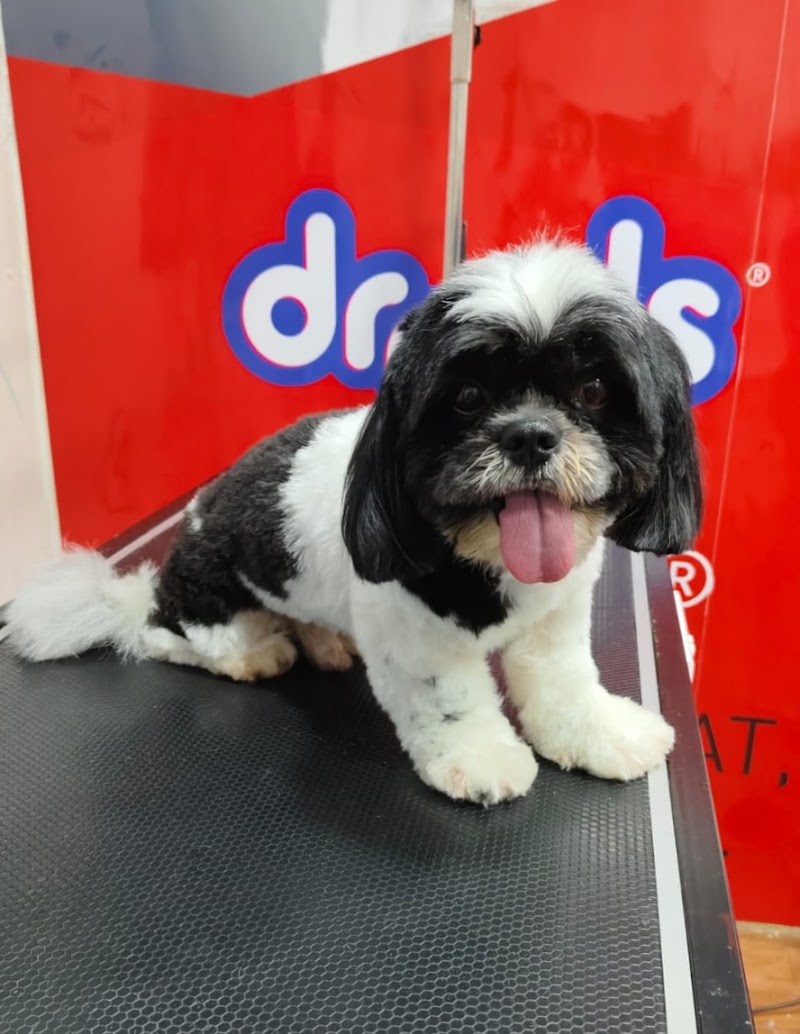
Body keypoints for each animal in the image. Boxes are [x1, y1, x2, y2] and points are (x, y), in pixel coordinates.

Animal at [7, 236, 701, 806]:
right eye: (467, 397)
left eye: (594, 390)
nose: (530, 435)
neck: (489, 559)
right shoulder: (415, 637)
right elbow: (450, 701)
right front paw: (479, 758)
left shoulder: (556, 620)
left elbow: (565, 684)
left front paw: (599, 732)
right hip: (207, 601)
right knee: (168, 639)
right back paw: (252, 653)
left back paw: (322, 641)